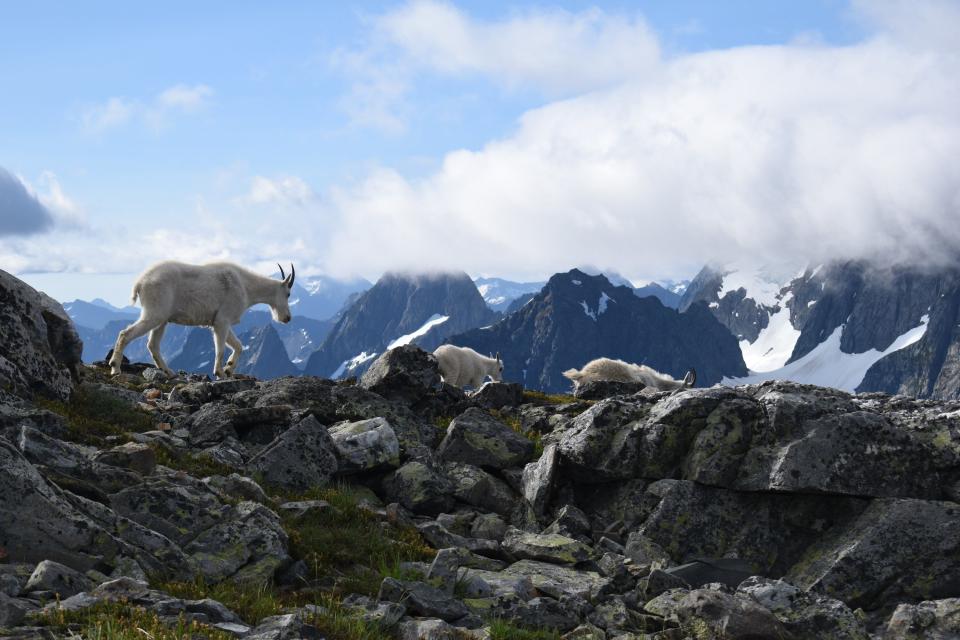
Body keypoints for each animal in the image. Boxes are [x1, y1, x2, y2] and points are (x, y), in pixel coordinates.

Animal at [110, 262, 294, 380]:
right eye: (288, 294)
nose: (287, 318)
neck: (246, 287)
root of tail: (140, 283)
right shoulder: (222, 321)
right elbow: (220, 349)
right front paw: (220, 372)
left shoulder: (221, 322)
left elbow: (239, 345)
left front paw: (229, 368)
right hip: (154, 313)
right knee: (126, 334)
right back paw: (115, 368)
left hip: (161, 320)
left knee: (153, 344)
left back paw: (169, 372)